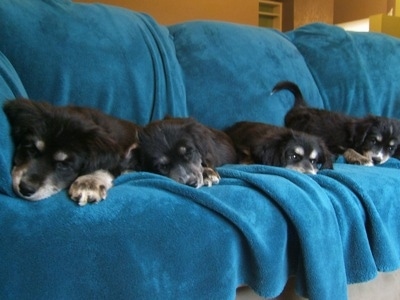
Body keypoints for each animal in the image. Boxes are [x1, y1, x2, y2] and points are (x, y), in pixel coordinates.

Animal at [272, 81, 400, 165]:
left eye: (390, 148)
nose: (377, 160)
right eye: (373, 140)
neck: (353, 137)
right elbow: (348, 149)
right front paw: (361, 159)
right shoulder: (330, 143)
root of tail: (300, 105)